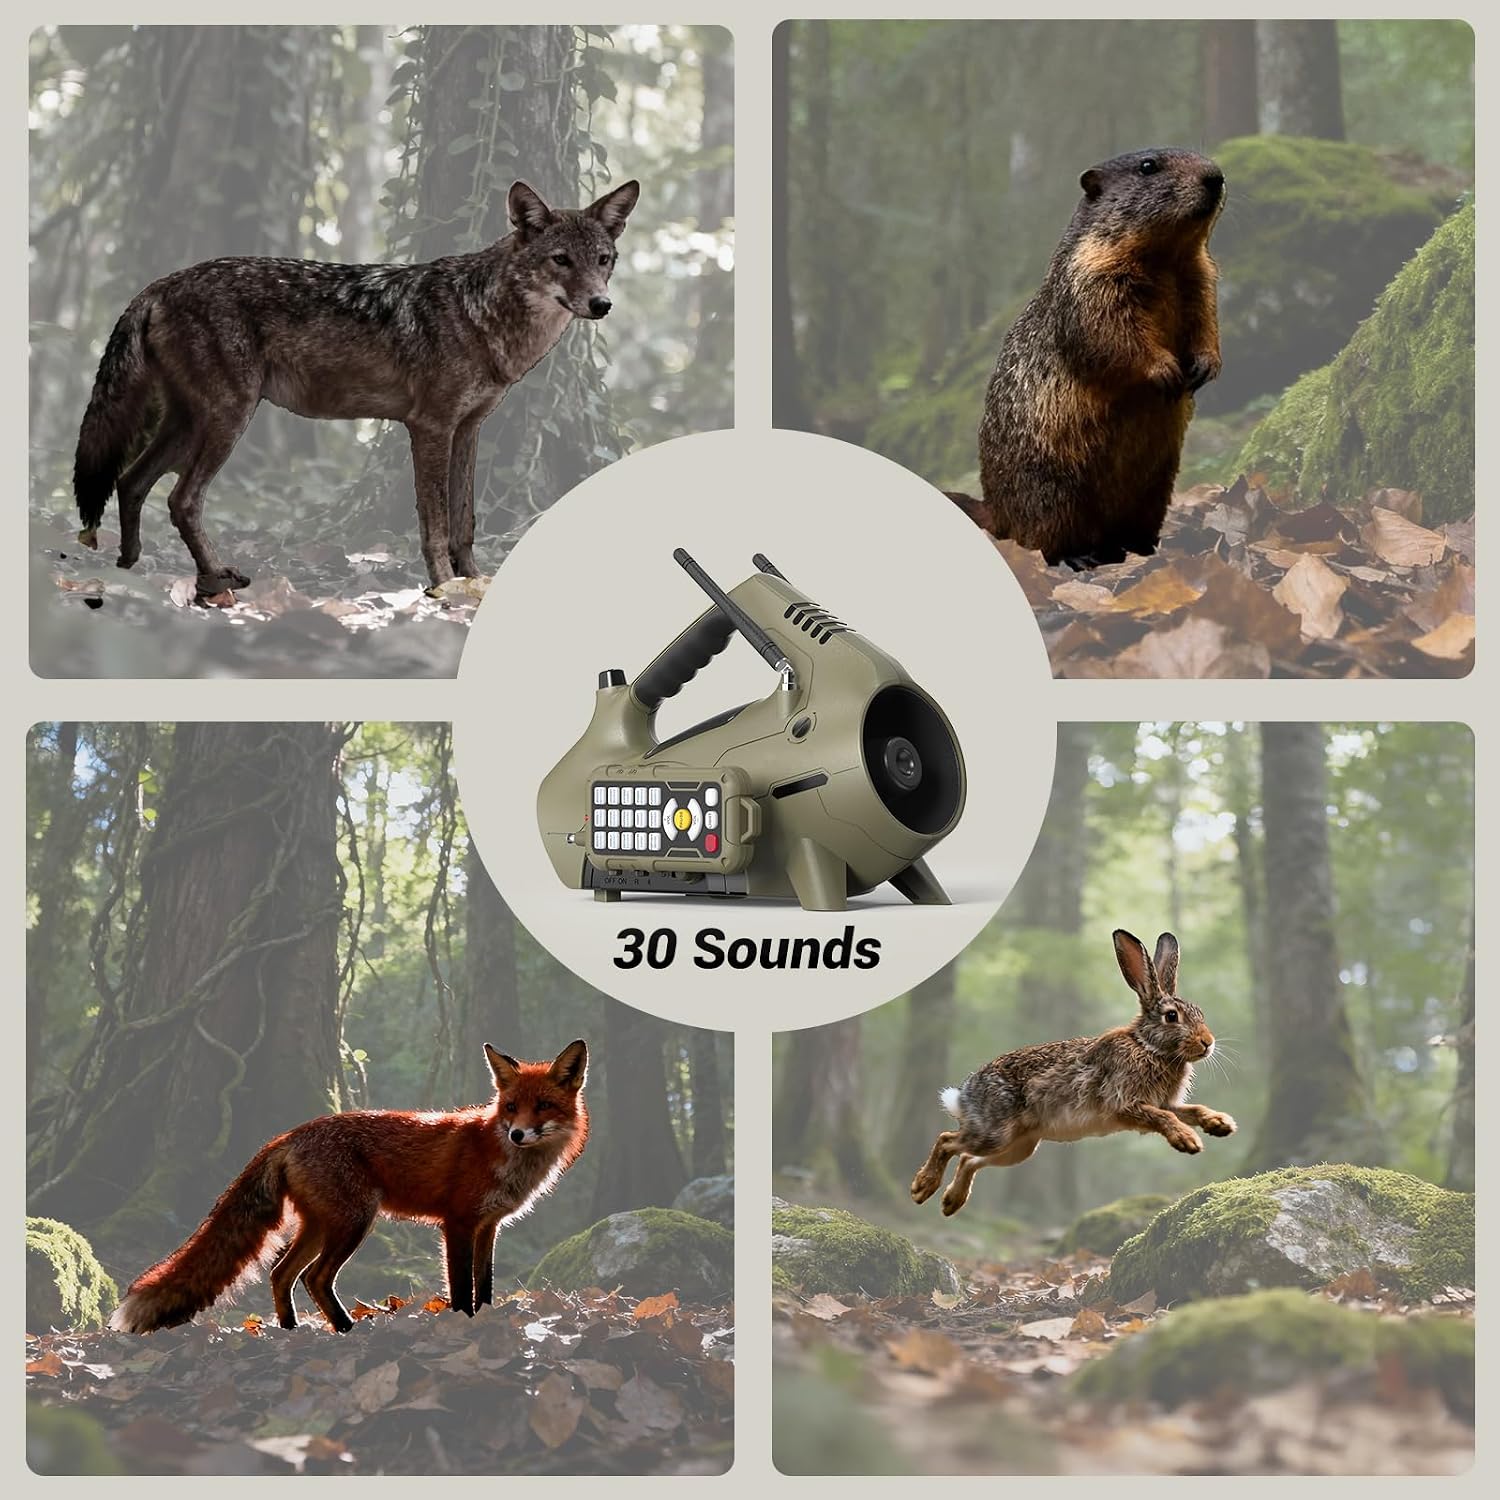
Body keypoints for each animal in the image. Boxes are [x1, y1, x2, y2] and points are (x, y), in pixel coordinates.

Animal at [73, 178, 640, 602]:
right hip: (228, 419)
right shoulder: (430, 427)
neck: (481, 317)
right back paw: (214, 579)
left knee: (130, 481)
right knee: (181, 499)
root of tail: (159, 284)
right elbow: (435, 524)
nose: (601, 305)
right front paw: (443, 589)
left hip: (189, 422)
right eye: (561, 260)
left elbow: (465, 521)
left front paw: (474, 583)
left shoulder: (469, 428)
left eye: (603, 259)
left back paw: (128, 567)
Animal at [109, 1039, 589, 1335]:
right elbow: (460, 1288)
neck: (504, 1156)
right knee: (315, 1278)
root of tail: (288, 1135)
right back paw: (345, 1329)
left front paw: (484, 1321)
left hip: (320, 1224)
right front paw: (461, 1325)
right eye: (510, 1107)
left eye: (542, 1106)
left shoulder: (488, 1226)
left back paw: (290, 1330)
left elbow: (485, 1285)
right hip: (354, 1221)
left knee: (282, 1272)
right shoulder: (457, 1223)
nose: (518, 1134)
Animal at [912, 930, 1236, 1216]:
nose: (1208, 1042)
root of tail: (965, 1095)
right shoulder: (1126, 1102)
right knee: (948, 1140)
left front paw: (1221, 1124)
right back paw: (922, 1187)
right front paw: (1187, 1140)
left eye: (1200, 1013)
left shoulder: (1165, 1102)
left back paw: (951, 1202)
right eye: (1171, 1017)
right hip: (995, 1133)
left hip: (1018, 1147)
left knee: (969, 1159)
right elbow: (1164, 1117)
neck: (1148, 1046)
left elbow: (1191, 1109)